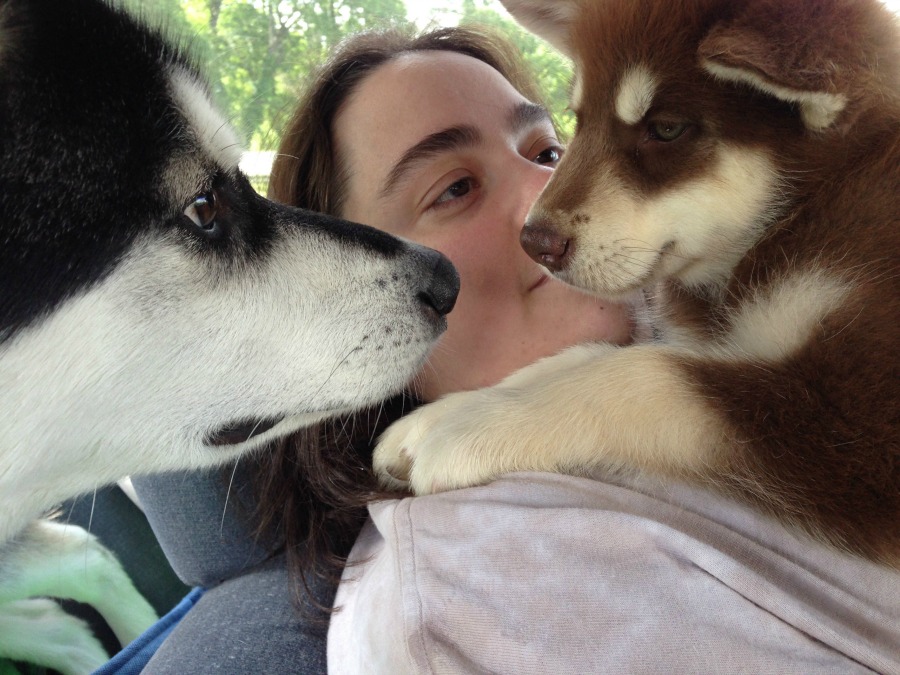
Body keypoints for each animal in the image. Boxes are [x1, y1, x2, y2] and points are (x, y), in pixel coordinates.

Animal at [376, 0, 900, 564]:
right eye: (579, 120)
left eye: (666, 129)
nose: (534, 243)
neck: (802, 211)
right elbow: (596, 355)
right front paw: (441, 415)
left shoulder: (861, 432)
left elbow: (648, 374)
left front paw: (475, 425)